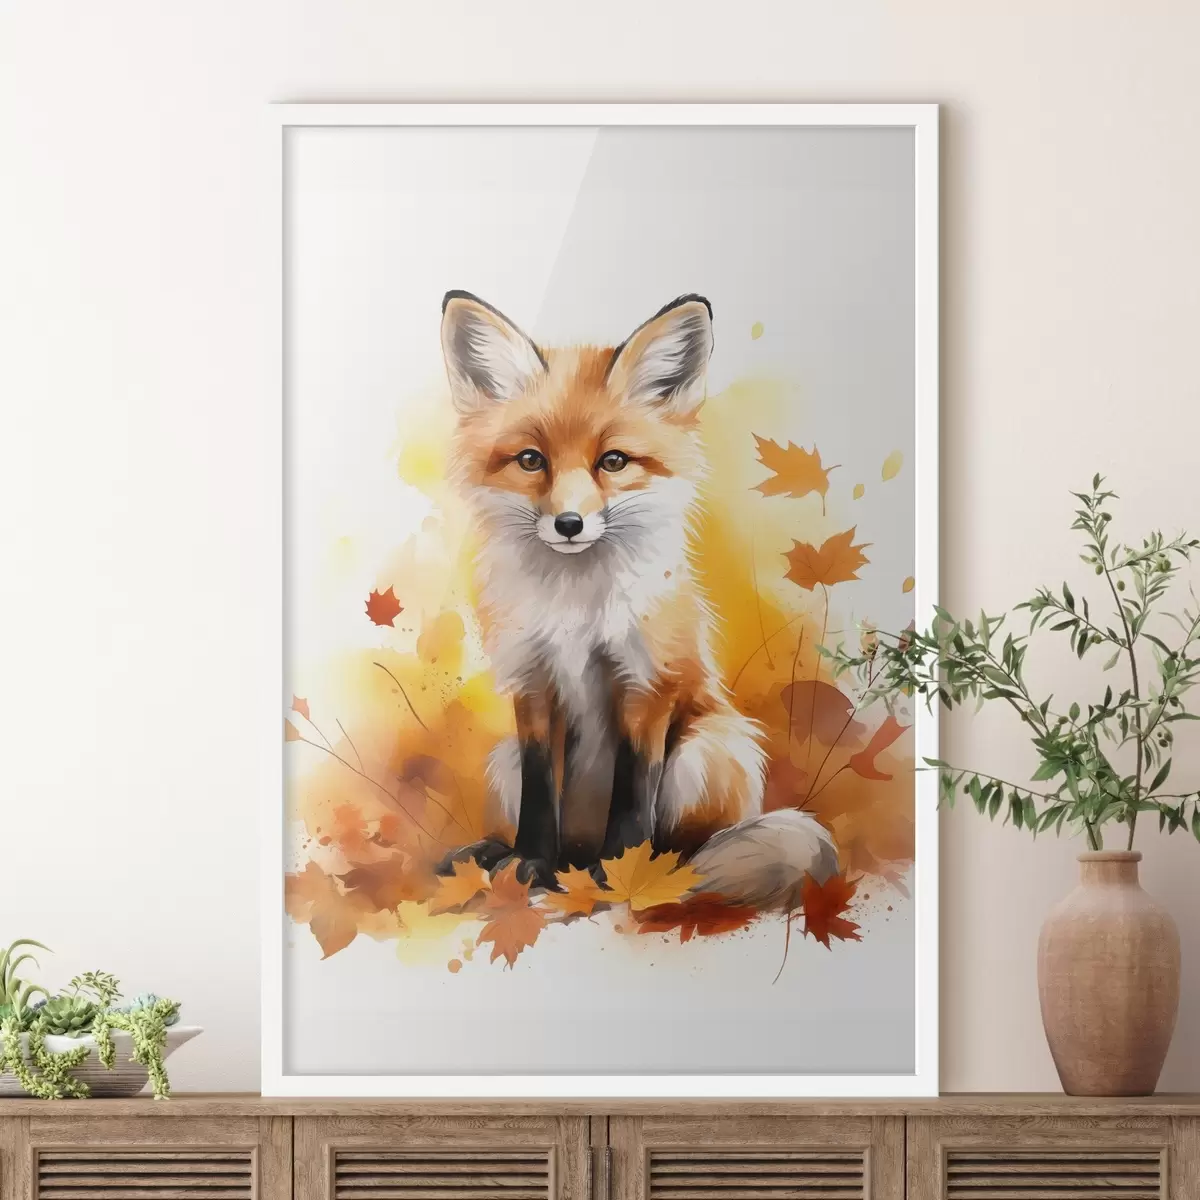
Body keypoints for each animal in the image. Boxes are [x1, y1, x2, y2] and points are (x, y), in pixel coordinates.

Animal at [438, 290, 838, 909]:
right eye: (531, 460)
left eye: (614, 461)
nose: (569, 524)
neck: (576, 608)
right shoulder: (532, 684)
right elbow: (539, 796)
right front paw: (528, 864)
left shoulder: (647, 684)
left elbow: (632, 798)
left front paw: (623, 876)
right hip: (501, 760)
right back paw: (515, 859)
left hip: (706, 752)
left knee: (688, 846)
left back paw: (653, 874)